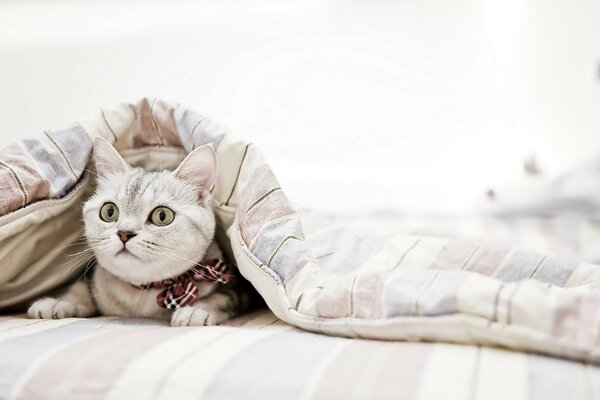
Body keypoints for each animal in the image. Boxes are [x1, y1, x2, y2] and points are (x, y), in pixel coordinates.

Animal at [27, 138, 253, 324]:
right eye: (109, 211)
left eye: (162, 216)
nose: (124, 233)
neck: (142, 293)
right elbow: (80, 289)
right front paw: (57, 302)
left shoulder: (238, 287)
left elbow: (221, 297)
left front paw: (196, 310)